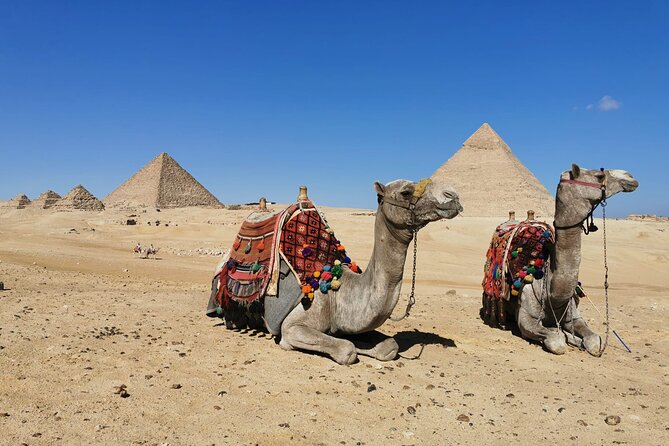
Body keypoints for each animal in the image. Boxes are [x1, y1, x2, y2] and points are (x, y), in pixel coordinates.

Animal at [209, 179, 462, 364]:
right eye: (406, 192)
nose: (453, 195)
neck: (338, 291)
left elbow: (389, 346)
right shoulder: (292, 326)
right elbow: (346, 350)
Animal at [483, 164, 638, 355]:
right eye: (599, 175)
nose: (629, 176)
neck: (551, 289)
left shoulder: (574, 318)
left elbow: (594, 340)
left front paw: (577, 339)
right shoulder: (526, 320)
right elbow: (557, 341)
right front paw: (565, 337)